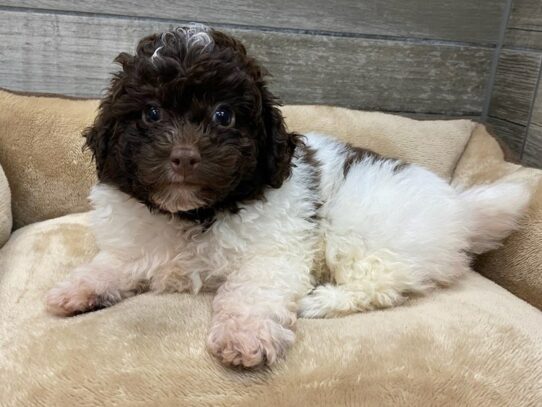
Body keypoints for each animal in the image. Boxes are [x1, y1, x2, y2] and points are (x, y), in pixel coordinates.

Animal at [45, 25, 532, 370]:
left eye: (224, 115)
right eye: (151, 113)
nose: (184, 156)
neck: (195, 214)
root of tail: (458, 208)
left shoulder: (273, 256)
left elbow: (251, 294)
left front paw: (243, 338)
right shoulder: (134, 243)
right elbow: (110, 264)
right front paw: (75, 289)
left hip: (364, 234)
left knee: (383, 285)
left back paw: (321, 300)